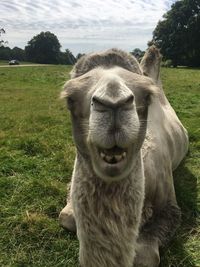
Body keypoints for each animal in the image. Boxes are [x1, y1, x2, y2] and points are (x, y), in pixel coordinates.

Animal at [58, 47, 188, 266]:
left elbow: (147, 256)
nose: (113, 102)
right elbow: (66, 217)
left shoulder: (170, 208)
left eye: (147, 96)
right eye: (70, 99)